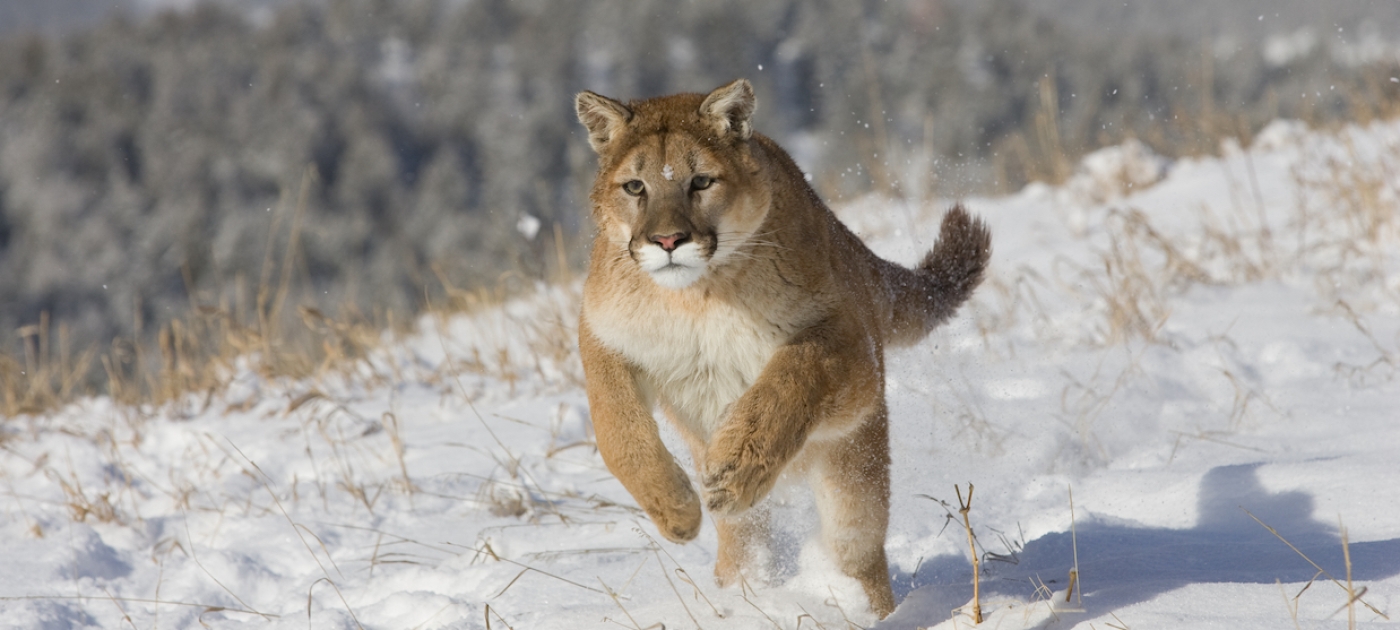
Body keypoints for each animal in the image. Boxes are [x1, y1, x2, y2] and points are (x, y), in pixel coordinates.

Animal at [574, 78, 990, 618]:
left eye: (701, 181)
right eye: (634, 187)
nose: (667, 240)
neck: (698, 298)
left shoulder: (849, 343)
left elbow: (792, 374)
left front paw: (737, 468)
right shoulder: (600, 334)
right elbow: (616, 429)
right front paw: (675, 509)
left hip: (854, 470)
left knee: (856, 551)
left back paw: (871, 613)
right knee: (743, 546)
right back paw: (739, 596)